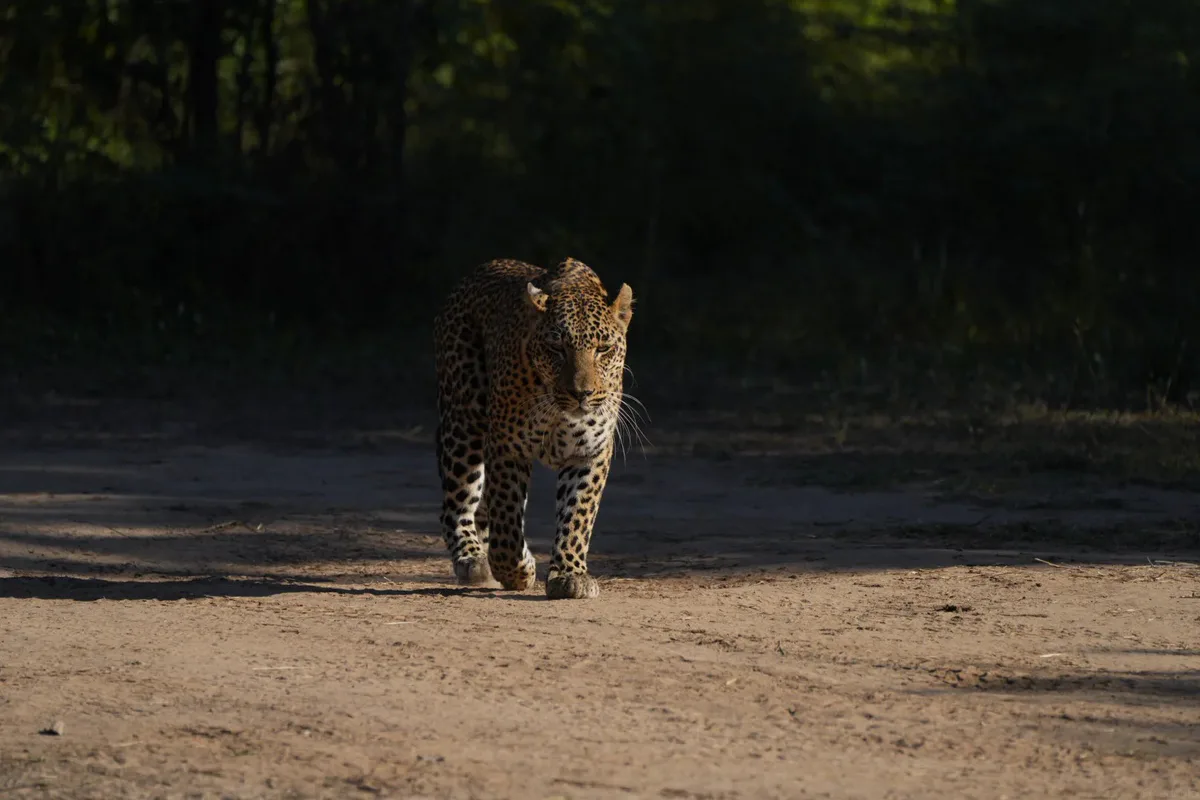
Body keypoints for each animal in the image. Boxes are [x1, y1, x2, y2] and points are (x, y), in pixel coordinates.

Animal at [433, 257, 635, 600]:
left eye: (604, 348)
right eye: (556, 348)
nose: (582, 393)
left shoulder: (590, 450)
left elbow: (577, 516)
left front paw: (569, 575)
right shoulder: (506, 446)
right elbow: (507, 522)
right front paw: (518, 569)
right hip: (464, 421)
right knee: (457, 504)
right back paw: (473, 559)